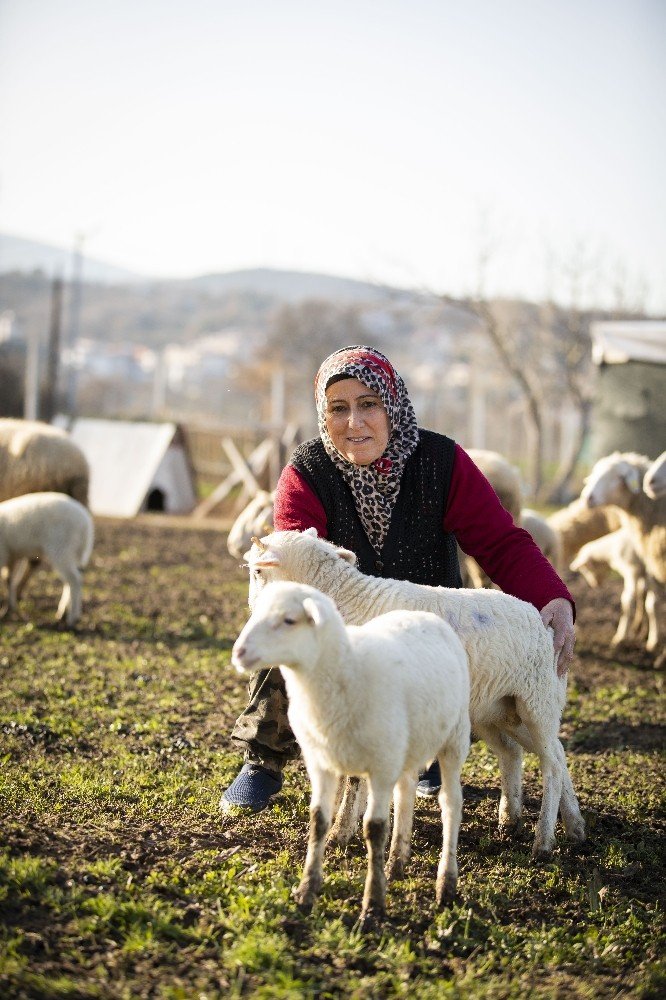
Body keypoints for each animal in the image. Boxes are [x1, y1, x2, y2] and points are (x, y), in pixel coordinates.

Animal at [0, 492, 93, 624]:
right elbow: (8, 580)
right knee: (70, 580)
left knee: (74, 580)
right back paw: (63, 612)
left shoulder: (3, 554)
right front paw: (9, 609)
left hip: (62, 548)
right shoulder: (10, 556)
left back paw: (72, 618)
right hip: (70, 553)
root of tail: (86, 525)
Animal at [231, 580, 470, 920]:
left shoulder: (381, 766)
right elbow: (318, 820)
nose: (238, 653)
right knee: (406, 793)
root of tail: (427, 616)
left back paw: (445, 884)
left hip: (453, 737)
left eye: (289, 620)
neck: (346, 670)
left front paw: (373, 905)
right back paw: (397, 861)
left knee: (451, 804)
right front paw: (306, 892)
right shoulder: (322, 763)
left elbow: (374, 829)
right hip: (405, 745)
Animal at [580, 454, 660, 656]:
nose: (587, 498)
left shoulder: (641, 568)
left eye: (618, 477)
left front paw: (630, 639)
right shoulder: (644, 567)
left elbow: (638, 602)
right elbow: (636, 601)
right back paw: (640, 630)